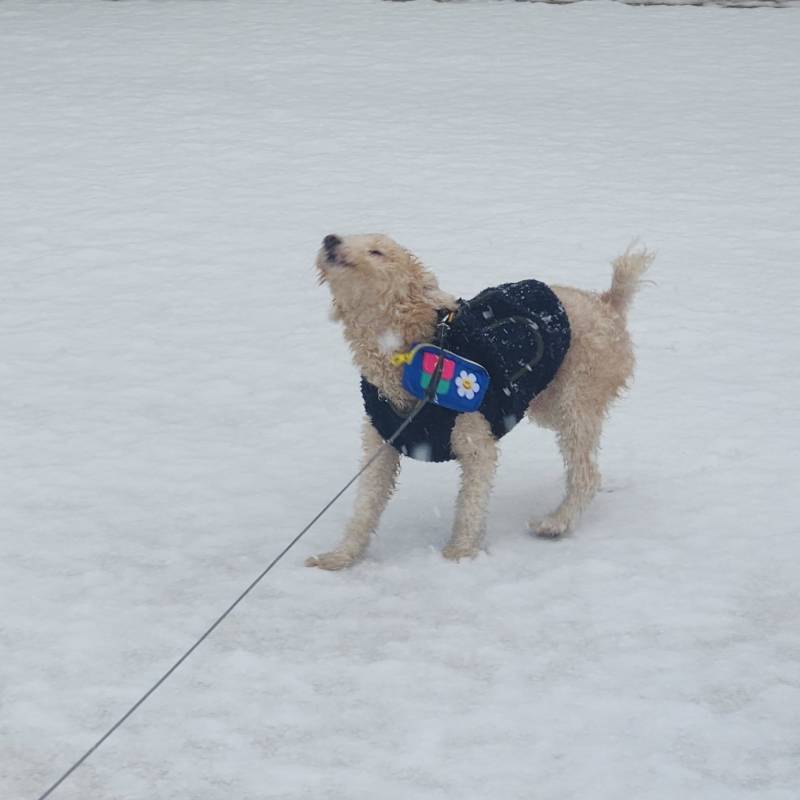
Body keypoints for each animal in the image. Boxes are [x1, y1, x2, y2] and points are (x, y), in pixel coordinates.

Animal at [304, 234, 648, 572]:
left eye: (377, 251)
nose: (330, 239)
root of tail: (607, 303)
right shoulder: (382, 445)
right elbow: (364, 508)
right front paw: (340, 556)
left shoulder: (477, 444)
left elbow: (471, 503)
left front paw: (460, 552)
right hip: (547, 404)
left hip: (575, 403)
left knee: (586, 474)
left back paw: (557, 522)